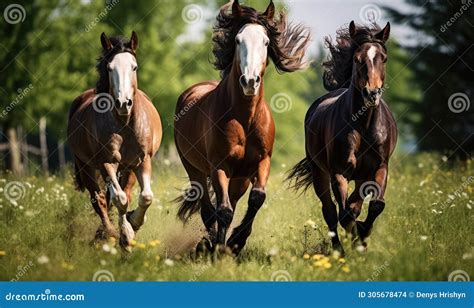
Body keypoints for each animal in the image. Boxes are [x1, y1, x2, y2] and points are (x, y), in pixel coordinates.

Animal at [67, 32, 162, 251]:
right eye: (110, 68)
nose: (123, 103)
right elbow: (119, 199)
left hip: (127, 168)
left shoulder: (142, 161)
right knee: (100, 199)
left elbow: (145, 197)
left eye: (134, 67)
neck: (124, 124)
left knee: (121, 194)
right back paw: (107, 232)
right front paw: (125, 236)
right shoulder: (106, 162)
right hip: (86, 166)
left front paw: (134, 223)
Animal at [174, 0, 312, 255]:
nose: (249, 81)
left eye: (266, 41)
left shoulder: (262, 161)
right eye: (238, 40)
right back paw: (207, 244)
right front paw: (220, 248)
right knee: (209, 208)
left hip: (240, 178)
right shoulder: (219, 166)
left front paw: (237, 242)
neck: (245, 119)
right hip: (194, 169)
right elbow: (223, 211)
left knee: (231, 201)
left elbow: (256, 198)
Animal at [286, 19, 398, 255]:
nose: (372, 94)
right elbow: (343, 214)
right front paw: (356, 240)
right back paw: (339, 248)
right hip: (319, 172)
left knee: (354, 204)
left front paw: (362, 236)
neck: (364, 126)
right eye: (357, 59)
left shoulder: (380, 167)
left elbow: (375, 205)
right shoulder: (338, 173)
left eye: (383, 58)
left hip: (362, 175)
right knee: (330, 210)